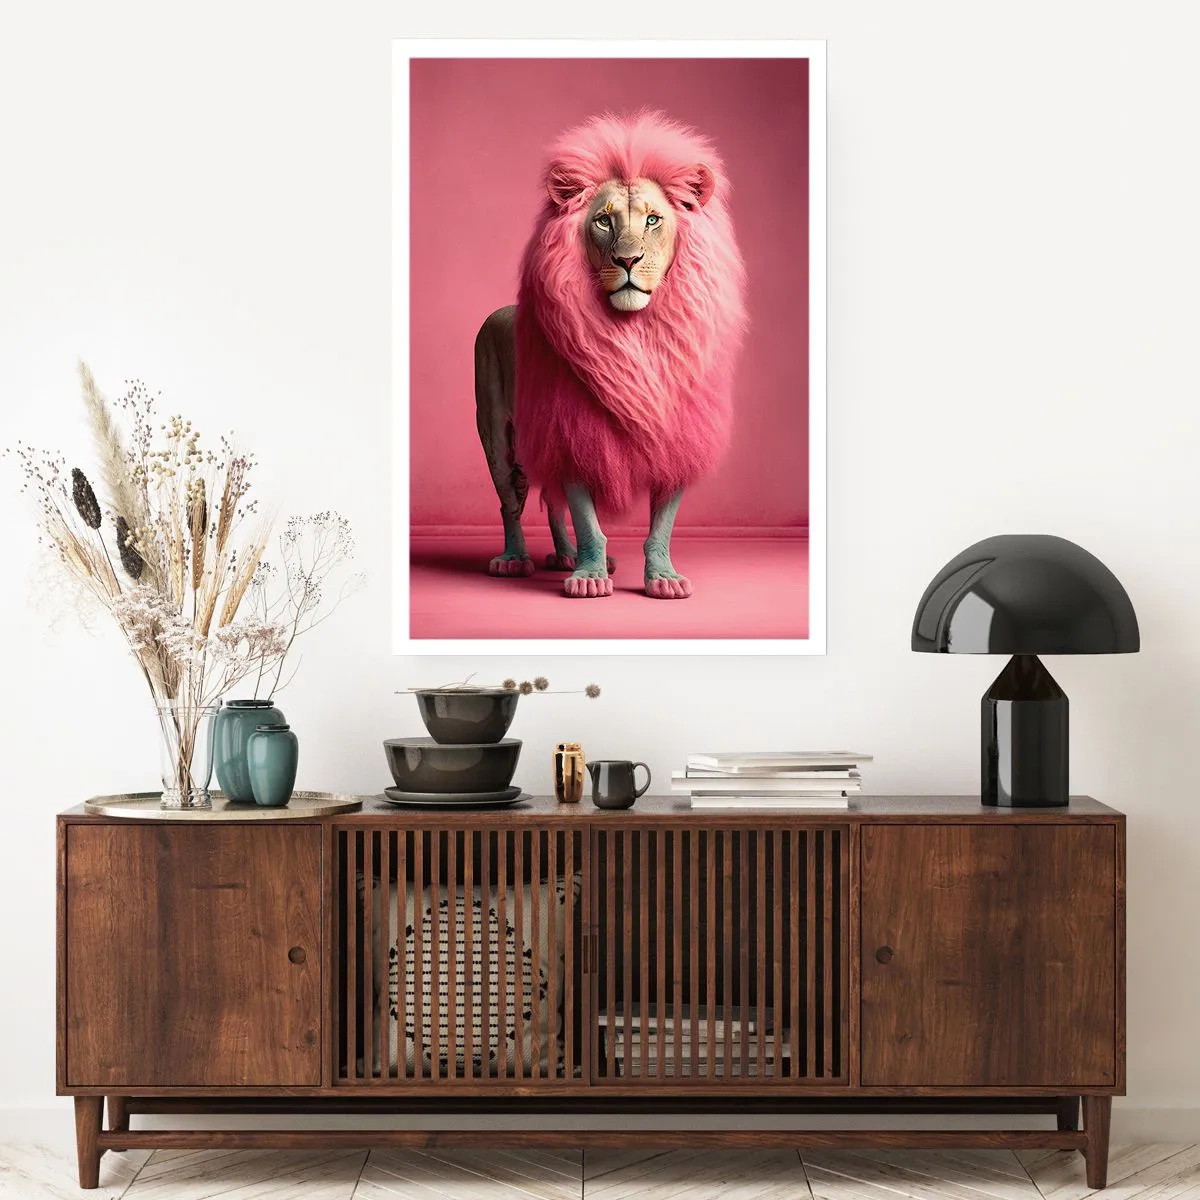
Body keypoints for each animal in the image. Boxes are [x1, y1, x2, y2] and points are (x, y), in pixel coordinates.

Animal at [475, 111, 747, 599]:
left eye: (654, 219)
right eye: (603, 222)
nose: (628, 260)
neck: (636, 334)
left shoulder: (677, 438)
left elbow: (661, 526)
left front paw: (663, 579)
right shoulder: (570, 431)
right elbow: (588, 520)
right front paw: (589, 578)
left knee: (552, 504)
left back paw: (563, 555)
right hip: (497, 440)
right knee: (511, 504)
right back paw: (515, 559)